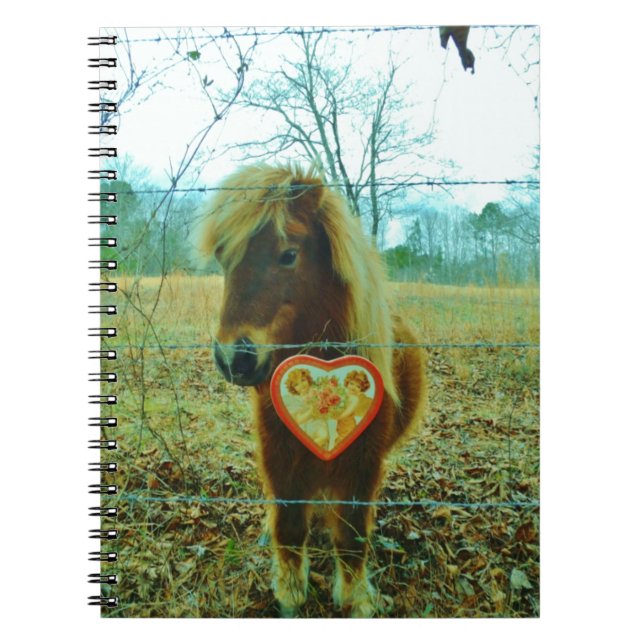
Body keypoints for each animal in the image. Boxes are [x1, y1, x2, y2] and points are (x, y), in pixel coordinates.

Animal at [198, 164, 426, 617]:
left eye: (289, 254)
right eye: (223, 258)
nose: (234, 357)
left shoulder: (362, 465)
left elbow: (352, 537)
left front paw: (356, 598)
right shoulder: (279, 456)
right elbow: (288, 526)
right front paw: (290, 593)